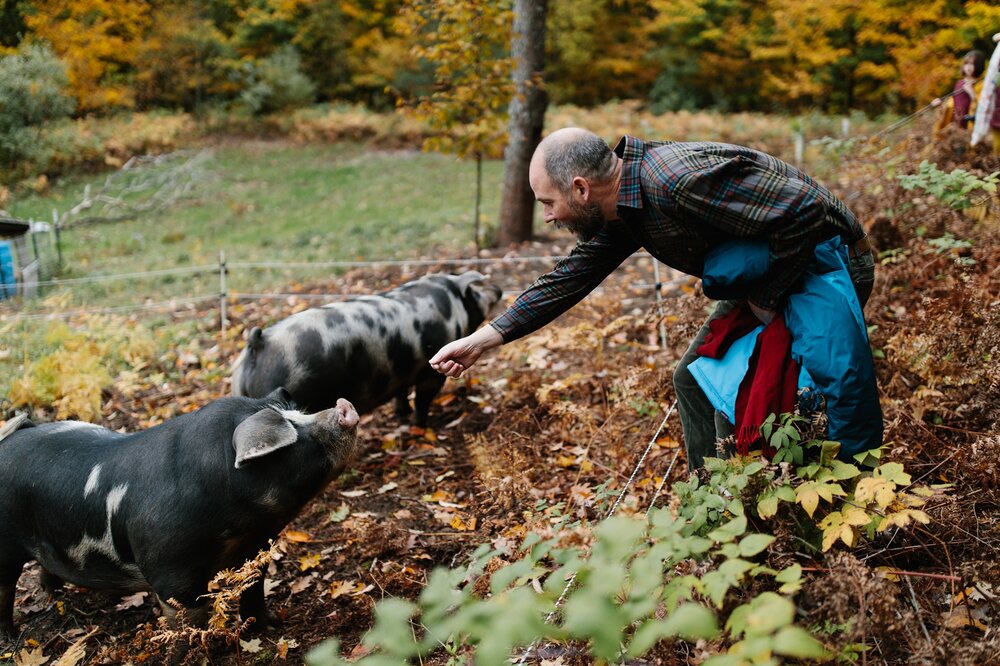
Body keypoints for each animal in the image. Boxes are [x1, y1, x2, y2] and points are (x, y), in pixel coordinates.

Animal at [0, 390, 360, 640]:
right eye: (289, 433)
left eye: (297, 412)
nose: (344, 405)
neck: (240, 526)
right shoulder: (170, 573)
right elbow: (186, 622)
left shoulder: (254, 550)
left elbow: (253, 590)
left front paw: (270, 626)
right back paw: (11, 636)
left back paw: (52, 595)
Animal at [230, 270, 504, 426]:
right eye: (477, 289)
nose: (499, 289)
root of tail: (258, 343)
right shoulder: (430, 373)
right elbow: (423, 400)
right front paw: (423, 426)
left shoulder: (400, 371)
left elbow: (401, 394)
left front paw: (402, 415)